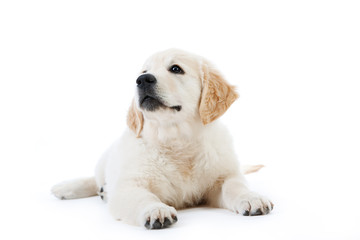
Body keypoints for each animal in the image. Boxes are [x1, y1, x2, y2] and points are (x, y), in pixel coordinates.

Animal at [51, 48, 272, 229]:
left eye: (176, 69)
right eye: (143, 71)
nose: (142, 80)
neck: (176, 139)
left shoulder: (224, 176)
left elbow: (235, 186)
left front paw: (251, 198)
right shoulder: (127, 187)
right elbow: (142, 196)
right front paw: (155, 210)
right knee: (94, 179)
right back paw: (69, 187)